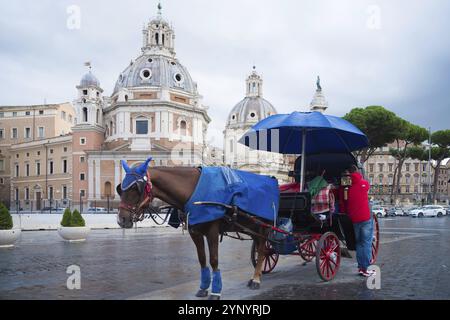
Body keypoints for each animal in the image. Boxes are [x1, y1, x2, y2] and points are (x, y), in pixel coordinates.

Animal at [116, 158, 270, 300]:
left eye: (136, 188)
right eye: (120, 189)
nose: (121, 219)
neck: (194, 191)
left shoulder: (212, 231)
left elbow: (214, 260)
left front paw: (215, 292)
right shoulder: (194, 232)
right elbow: (202, 259)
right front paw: (203, 288)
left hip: (263, 227)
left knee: (263, 250)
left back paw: (256, 279)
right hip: (251, 228)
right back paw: (257, 275)